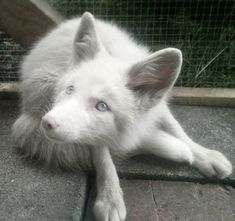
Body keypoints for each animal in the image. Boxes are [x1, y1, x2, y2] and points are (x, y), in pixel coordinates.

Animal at [12, 12, 231, 221]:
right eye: (70, 90)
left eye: (101, 106)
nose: (47, 123)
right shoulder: (98, 136)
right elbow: (103, 155)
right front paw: (110, 198)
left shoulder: (158, 106)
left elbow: (177, 128)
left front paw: (204, 155)